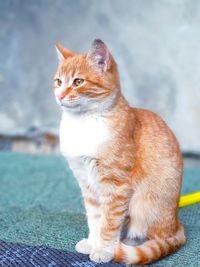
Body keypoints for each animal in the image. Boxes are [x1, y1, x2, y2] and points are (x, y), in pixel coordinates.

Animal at [53, 39, 186, 266]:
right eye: (59, 81)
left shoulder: (116, 186)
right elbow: (95, 218)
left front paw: (104, 249)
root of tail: (176, 224)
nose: (60, 95)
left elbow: (109, 222)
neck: (83, 124)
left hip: (144, 205)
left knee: (154, 238)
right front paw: (93, 242)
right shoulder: (87, 184)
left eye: (78, 81)